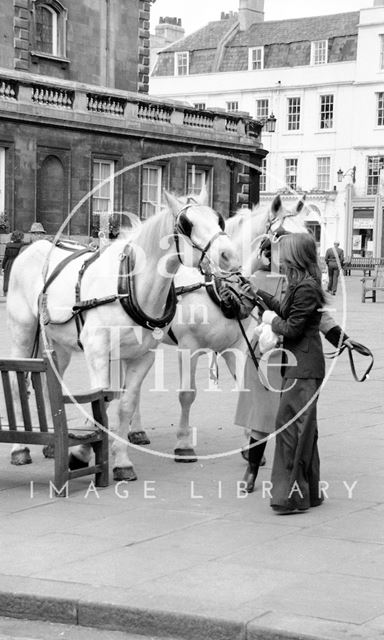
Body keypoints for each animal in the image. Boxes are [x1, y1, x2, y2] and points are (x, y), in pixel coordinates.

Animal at [6, 190, 240, 480]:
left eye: (219, 220)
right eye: (186, 224)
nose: (229, 255)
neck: (129, 285)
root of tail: (33, 247)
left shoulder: (143, 356)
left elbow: (124, 404)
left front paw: (120, 461)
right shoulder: (97, 350)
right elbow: (100, 400)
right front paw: (82, 453)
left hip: (58, 344)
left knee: (53, 384)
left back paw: (50, 445)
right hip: (22, 332)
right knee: (15, 384)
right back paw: (19, 448)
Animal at [127, 195, 308, 460]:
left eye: (309, 233)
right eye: (281, 234)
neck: (217, 286)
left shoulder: (236, 347)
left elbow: (245, 389)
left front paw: (249, 445)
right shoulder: (188, 347)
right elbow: (187, 394)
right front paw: (183, 443)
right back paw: (135, 428)